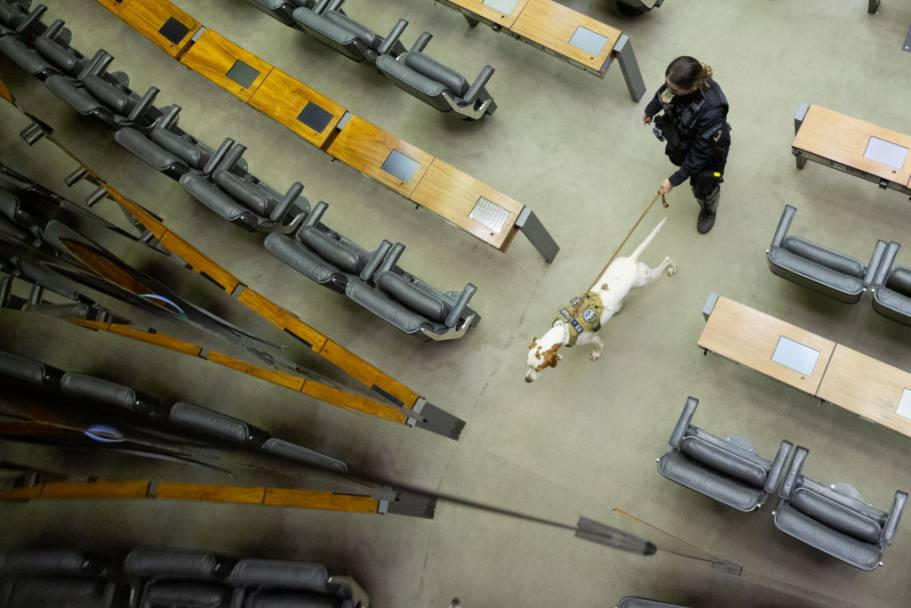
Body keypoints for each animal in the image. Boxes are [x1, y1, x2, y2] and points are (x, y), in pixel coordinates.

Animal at [528, 218, 676, 382]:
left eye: (538, 368)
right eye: (527, 365)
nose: (527, 380)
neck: (565, 328)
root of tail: (631, 260)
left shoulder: (594, 339)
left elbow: (600, 346)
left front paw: (596, 354)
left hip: (644, 280)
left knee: (666, 260)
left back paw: (671, 268)